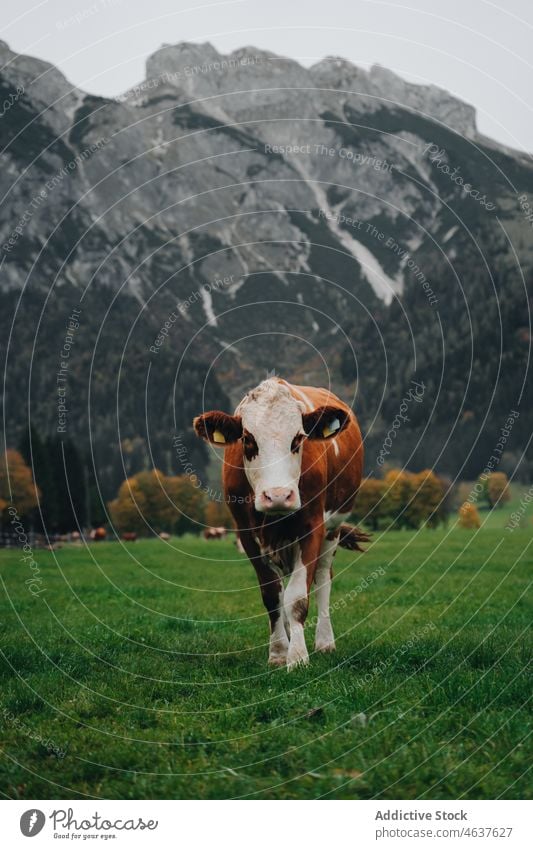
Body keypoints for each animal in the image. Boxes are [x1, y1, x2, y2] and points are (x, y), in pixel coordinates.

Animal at [193, 378, 368, 668]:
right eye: (248, 439)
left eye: (298, 438)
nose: (278, 495)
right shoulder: (246, 534)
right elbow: (272, 596)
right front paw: (278, 653)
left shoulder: (313, 527)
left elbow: (297, 598)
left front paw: (297, 657)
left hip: (332, 529)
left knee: (323, 579)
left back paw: (324, 642)